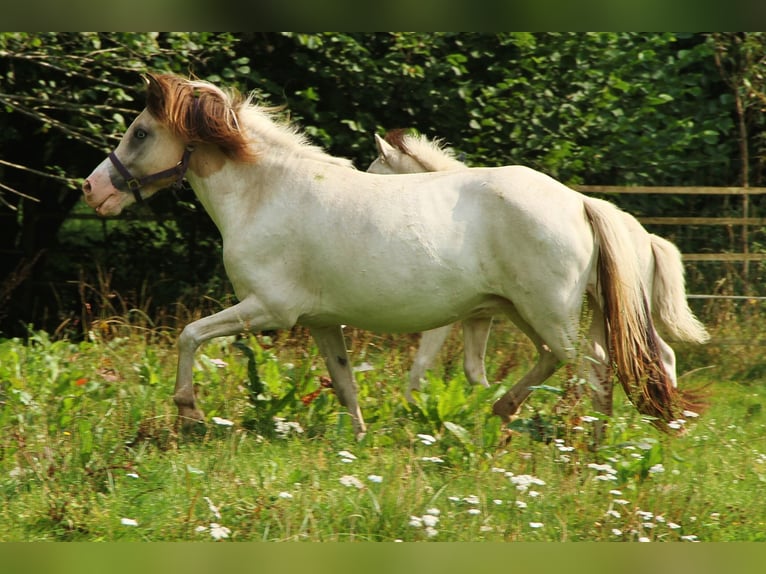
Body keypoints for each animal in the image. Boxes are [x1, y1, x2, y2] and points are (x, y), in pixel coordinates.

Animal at [368, 129, 712, 414]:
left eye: (372, 172)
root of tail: (648, 238)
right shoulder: (477, 316)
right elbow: (473, 370)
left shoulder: (445, 316)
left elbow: (423, 362)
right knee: (652, 356)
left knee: (645, 358)